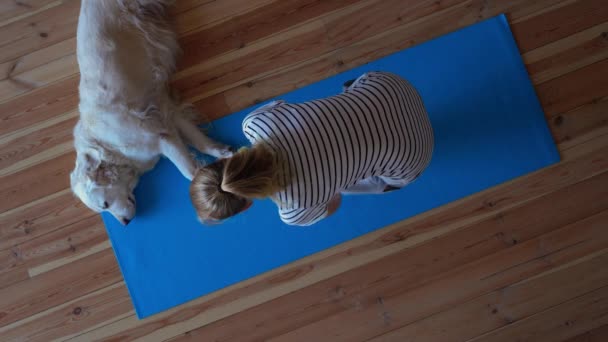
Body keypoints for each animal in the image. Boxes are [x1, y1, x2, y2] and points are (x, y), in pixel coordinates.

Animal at [70, 1, 233, 226]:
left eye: (105, 204)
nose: (125, 223)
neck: (108, 145)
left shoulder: (161, 138)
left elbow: (189, 172)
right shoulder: (166, 115)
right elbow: (200, 141)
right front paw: (222, 151)